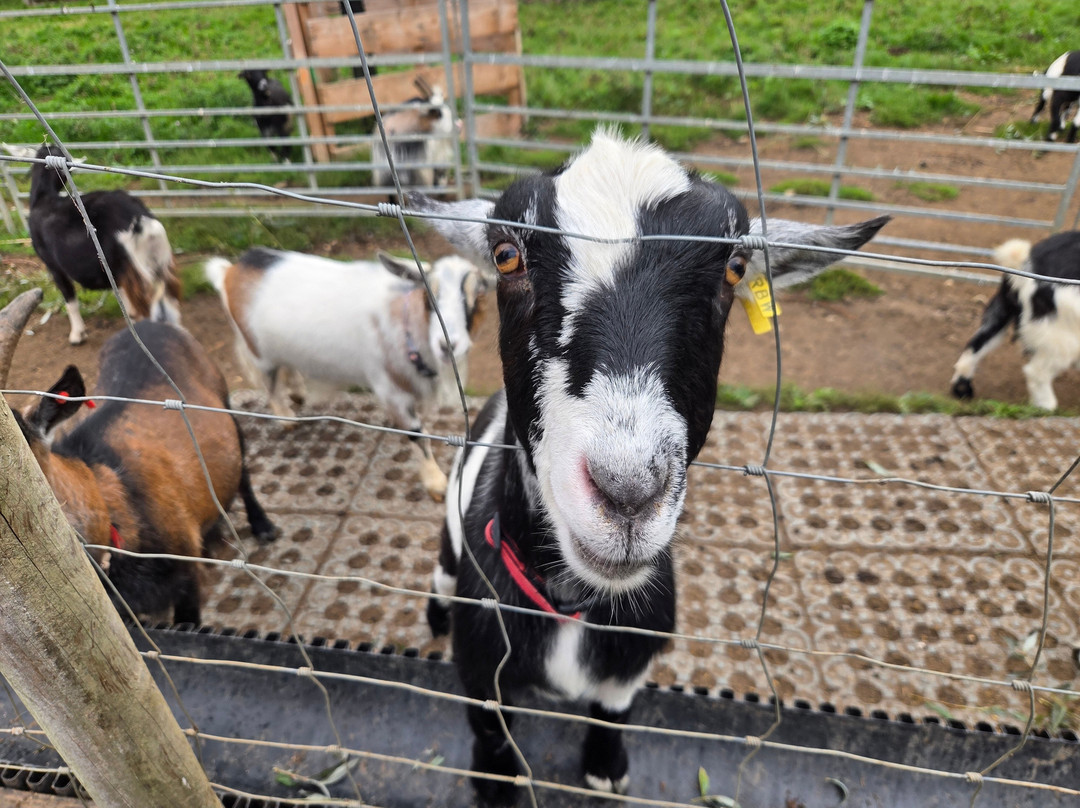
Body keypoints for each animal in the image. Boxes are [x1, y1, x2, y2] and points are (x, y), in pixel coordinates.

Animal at [4, 143, 181, 346]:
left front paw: (77, 335)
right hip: (158, 269)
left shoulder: (53, 266)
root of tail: (140, 221)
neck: (44, 198)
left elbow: (70, 299)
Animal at [203, 248, 487, 501]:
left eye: (475, 297)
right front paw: (436, 483)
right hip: (259, 353)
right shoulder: (390, 389)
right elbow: (417, 434)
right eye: (429, 297)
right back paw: (287, 418)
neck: (403, 318)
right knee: (271, 383)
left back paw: (298, 393)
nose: (448, 344)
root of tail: (231, 270)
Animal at [414, 130, 890, 806]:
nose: (628, 489)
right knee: (440, 568)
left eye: (734, 267)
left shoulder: (631, 657)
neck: (571, 606)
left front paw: (606, 767)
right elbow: (491, 731)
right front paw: (496, 785)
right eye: (506, 256)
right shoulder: (483, 668)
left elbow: (614, 711)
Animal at [951, 232, 1080, 411]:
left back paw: (963, 390)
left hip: (1004, 308)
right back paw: (1046, 408)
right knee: (1037, 372)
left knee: (977, 343)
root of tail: (1026, 264)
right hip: (1063, 334)